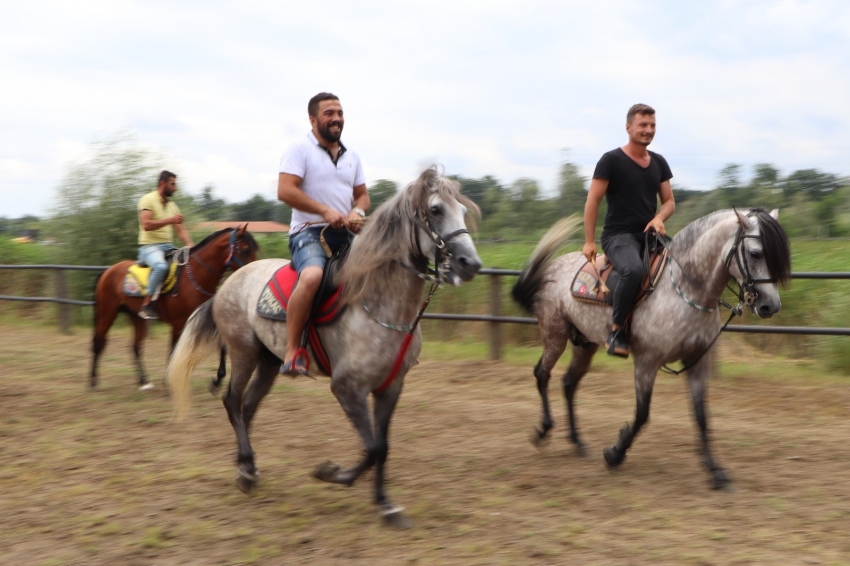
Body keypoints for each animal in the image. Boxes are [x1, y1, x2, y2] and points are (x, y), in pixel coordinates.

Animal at [89, 226, 256, 390]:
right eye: (245, 249)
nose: (252, 273)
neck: (196, 276)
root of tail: (108, 271)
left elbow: (222, 346)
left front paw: (218, 379)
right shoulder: (178, 323)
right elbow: (173, 350)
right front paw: (170, 381)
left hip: (136, 316)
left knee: (136, 346)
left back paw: (144, 381)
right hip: (107, 313)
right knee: (99, 342)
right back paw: (93, 380)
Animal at [166, 168, 476, 528]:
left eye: (463, 210)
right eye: (436, 209)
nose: (470, 263)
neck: (379, 306)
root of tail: (229, 282)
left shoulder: (390, 387)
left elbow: (382, 446)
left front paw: (385, 504)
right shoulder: (346, 388)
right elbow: (372, 448)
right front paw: (333, 474)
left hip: (269, 362)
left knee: (247, 406)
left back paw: (249, 468)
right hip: (244, 353)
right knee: (233, 401)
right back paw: (245, 469)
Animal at [510, 211, 788, 490]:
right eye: (755, 253)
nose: (770, 306)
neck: (685, 290)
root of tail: (554, 267)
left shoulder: (698, 362)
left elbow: (701, 415)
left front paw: (715, 470)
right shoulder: (647, 362)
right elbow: (643, 414)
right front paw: (615, 453)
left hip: (586, 344)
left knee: (569, 383)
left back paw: (577, 442)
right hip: (554, 335)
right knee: (542, 374)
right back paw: (543, 430)